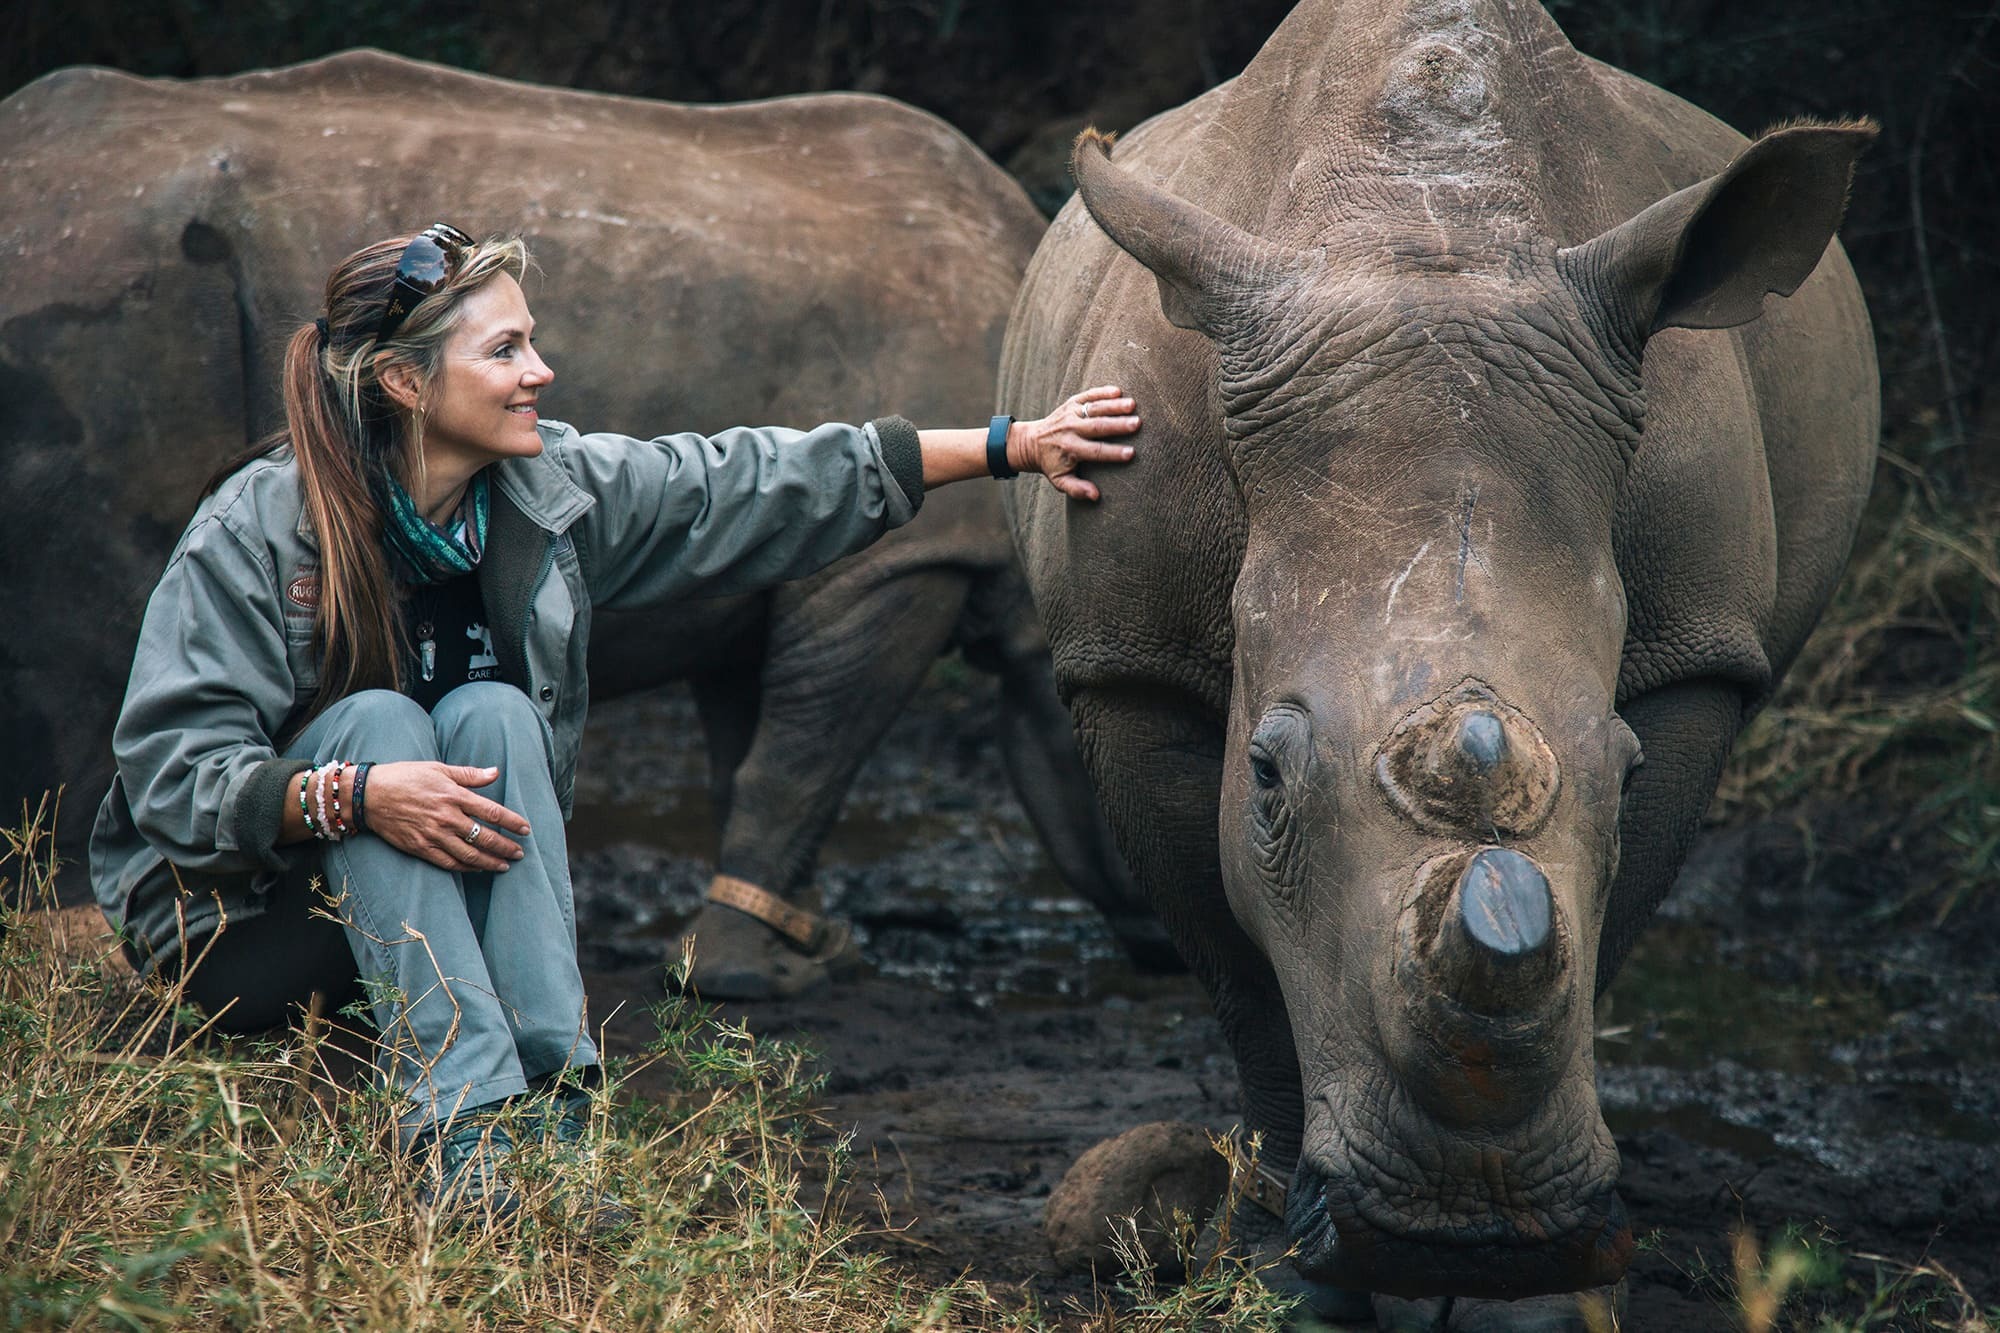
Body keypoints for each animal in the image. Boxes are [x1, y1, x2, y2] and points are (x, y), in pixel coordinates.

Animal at [1001, 0, 1877, 1321]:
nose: (1462, 1238)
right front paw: (1288, 1273)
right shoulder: (1127, 655)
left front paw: (1537, 1298)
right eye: (1264, 775)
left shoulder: (1696, 654)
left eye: (1622, 768)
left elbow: (1598, 932)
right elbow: (1242, 969)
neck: (1422, 234)